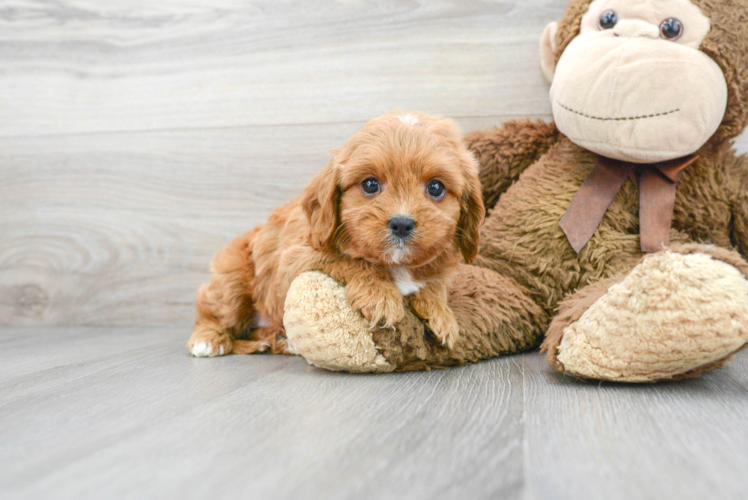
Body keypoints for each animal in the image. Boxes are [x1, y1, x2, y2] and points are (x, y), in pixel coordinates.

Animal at [187, 111, 486, 358]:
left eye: (436, 188)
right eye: (370, 184)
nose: (401, 224)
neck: (395, 264)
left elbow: (434, 283)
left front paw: (441, 313)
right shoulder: (296, 258)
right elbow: (350, 260)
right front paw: (380, 295)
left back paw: (278, 341)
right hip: (232, 279)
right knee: (213, 312)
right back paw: (208, 340)